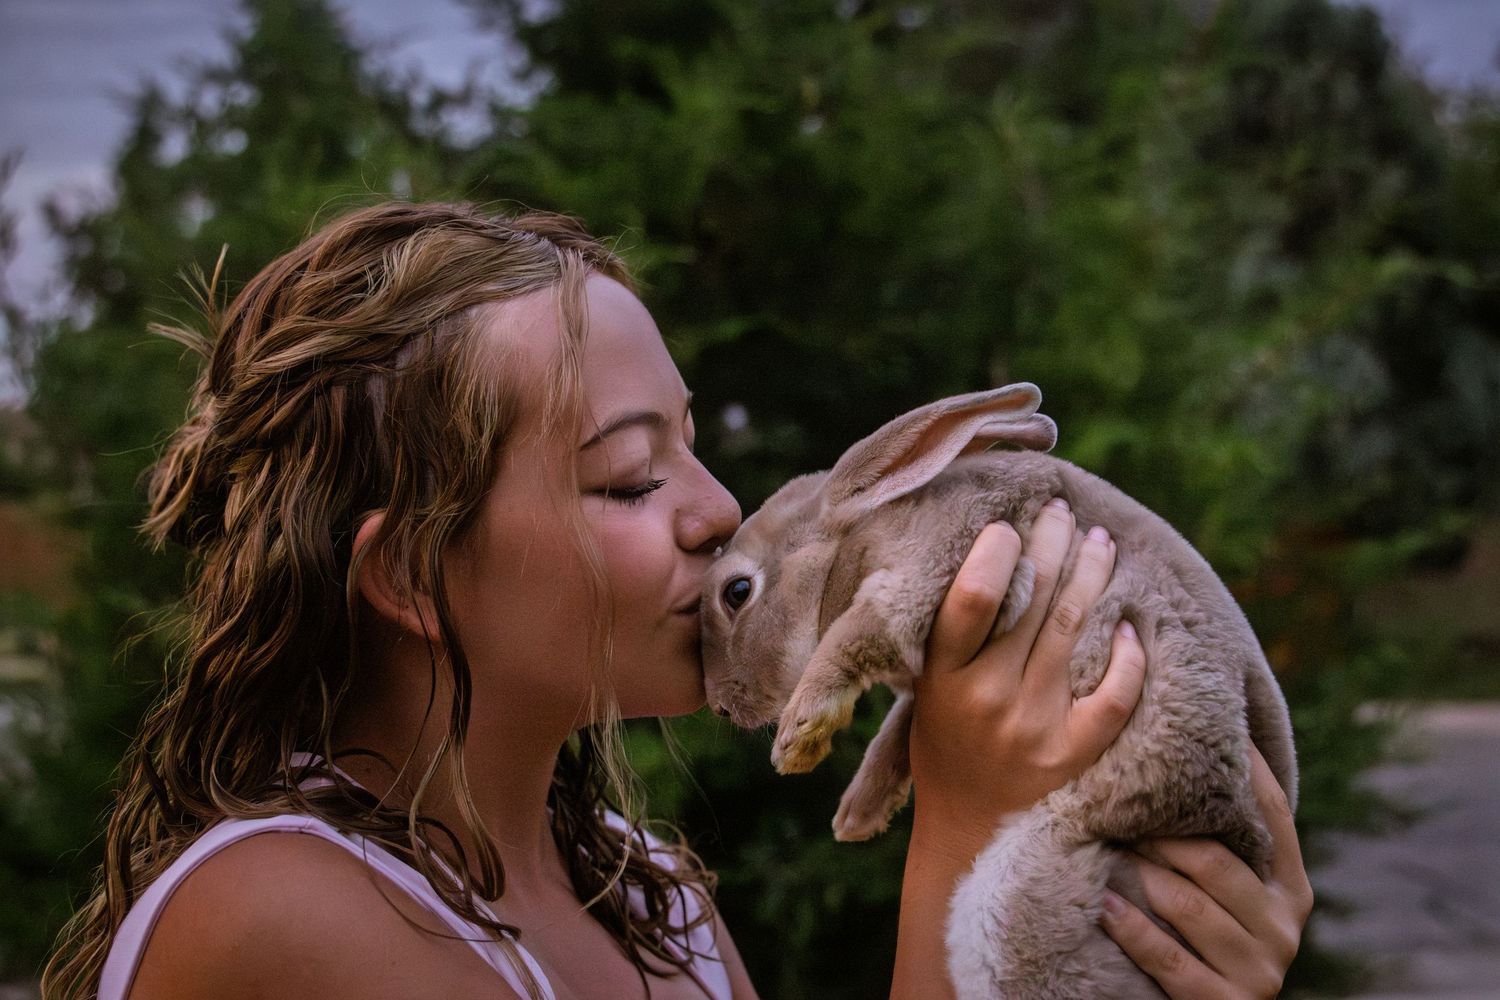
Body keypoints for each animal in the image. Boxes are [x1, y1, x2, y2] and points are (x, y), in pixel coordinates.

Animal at [699, 382, 1298, 1000]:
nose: (720, 703)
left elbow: (859, 634)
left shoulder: (939, 559)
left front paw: (797, 738)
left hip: (1020, 895)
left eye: (737, 592)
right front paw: (859, 812)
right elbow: (899, 726)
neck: (855, 535)